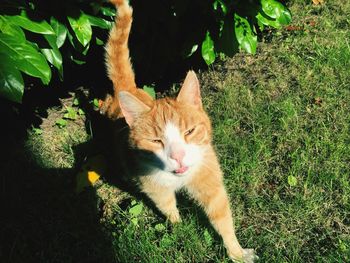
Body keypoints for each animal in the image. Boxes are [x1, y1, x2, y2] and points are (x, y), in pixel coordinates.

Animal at [100, 0, 258, 262]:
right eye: (155, 141)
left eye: (190, 131)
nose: (178, 156)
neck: (179, 180)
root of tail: (128, 88)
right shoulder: (154, 186)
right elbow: (168, 207)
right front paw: (179, 227)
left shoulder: (209, 179)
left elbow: (222, 219)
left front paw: (236, 252)